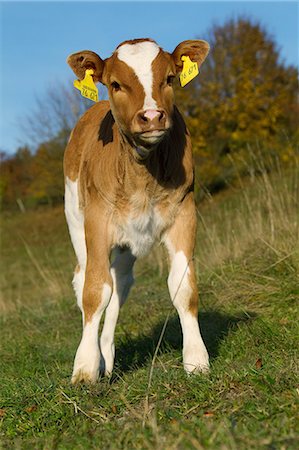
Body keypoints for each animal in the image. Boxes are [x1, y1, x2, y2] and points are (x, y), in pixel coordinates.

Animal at [65, 37, 211, 384]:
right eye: (115, 84)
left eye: (170, 78)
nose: (152, 116)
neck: (142, 174)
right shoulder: (97, 222)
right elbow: (94, 291)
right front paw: (85, 367)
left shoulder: (184, 213)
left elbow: (183, 286)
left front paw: (196, 359)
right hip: (76, 222)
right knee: (85, 279)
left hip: (129, 242)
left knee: (119, 284)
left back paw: (107, 356)